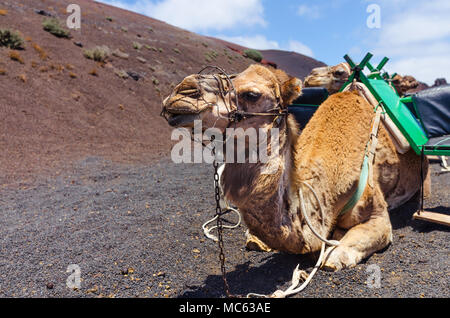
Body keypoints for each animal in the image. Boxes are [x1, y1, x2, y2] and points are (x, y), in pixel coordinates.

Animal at [161, 64, 428, 270]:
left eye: (252, 94)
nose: (183, 91)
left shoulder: (377, 213)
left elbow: (352, 242)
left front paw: (335, 253)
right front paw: (255, 239)